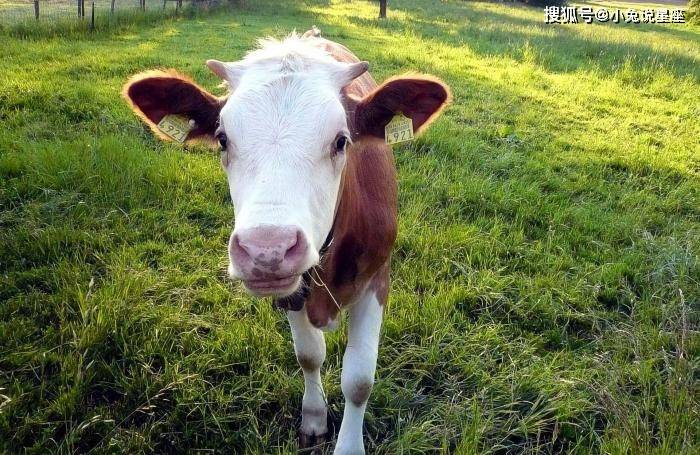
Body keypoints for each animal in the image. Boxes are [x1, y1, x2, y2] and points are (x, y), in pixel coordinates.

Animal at [121, 29, 448, 455]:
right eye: (223, 140)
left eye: (341, 141)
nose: (267, 250)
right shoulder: (291, 290)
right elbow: (309, 355)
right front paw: (314, 417)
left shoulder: (378, 277)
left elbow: (359, 380)